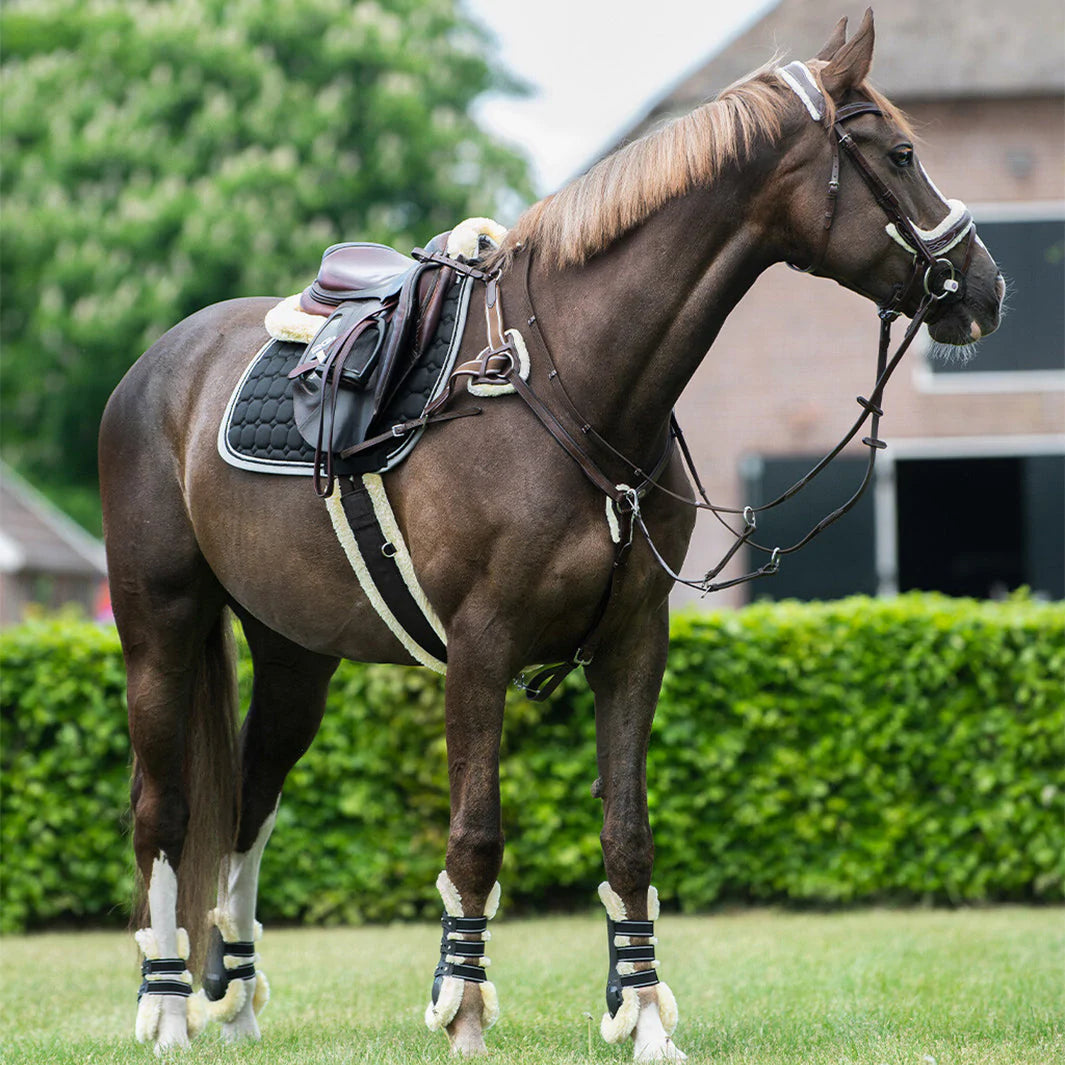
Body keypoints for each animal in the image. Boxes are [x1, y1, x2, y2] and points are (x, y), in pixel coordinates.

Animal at [99, 10, 1002, 1060]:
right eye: (899, 154)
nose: (985, 288)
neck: (568, 382)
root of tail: (159, 365)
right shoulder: (479, 647)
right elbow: (475, 835)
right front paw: (463, 1010)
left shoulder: (633, 641)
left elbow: (629, 836)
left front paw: (642, 1014)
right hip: (159, 629)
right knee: (164, 811)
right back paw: (167, 1006)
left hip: (293, 656)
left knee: (249, 800)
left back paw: (237, 1000)